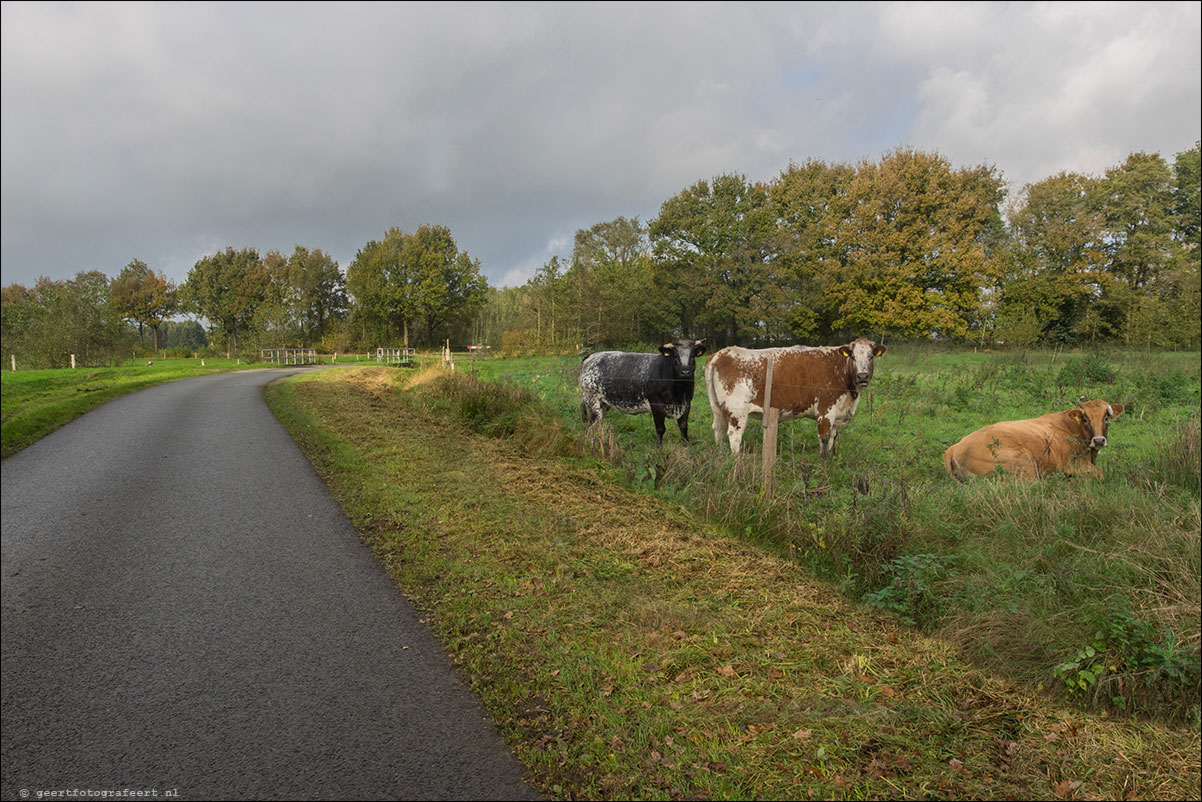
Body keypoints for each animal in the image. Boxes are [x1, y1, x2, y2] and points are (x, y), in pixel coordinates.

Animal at [701, 339, 884, 456]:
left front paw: (833, 458)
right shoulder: (826, 411)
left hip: (717, 408)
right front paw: (824, 464)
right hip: (737, 411)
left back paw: (721, 454)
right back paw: (736, 460)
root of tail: (721, 353)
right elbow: (824, 438)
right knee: (734, 434)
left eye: (871, 356)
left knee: (718, 429)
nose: (862, 376)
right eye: (853, 356)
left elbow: (833, 437)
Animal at [942, 399, 1120, 480]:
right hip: (1024, 462)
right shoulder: (1074, 464)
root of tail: (955, 447)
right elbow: (1100, 474)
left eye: (1106, 418)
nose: (1099, 441)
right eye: (1085, 419)